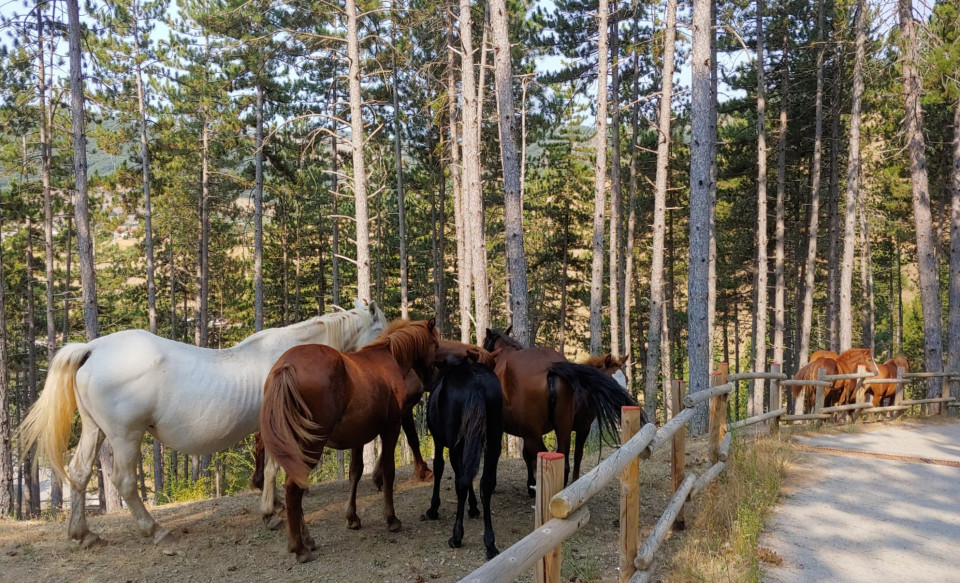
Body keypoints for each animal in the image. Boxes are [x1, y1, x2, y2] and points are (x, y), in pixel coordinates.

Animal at [17, 298, 386, 548]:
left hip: (96, 431)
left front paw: (274, 508)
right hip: (125, 436)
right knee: (124, 482)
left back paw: (82, 534)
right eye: (381, 328)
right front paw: (271, 512)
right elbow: (272, 469)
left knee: (79, 474)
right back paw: (156, 531)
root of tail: (91, 349)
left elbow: (268, 468)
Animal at [258, 318, 438, 564]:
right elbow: (389, 471)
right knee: (293, 489)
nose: (432, 379)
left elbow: (355, 472)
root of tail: (286, 366)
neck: (389, 358)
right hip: (311, 446)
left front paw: (352, 517)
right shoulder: (391, 428)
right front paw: (391, 519)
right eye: (436, 345)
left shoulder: (358, 437)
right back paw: (299, 547)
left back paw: (307, 539)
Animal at [424, 350, 506, 560]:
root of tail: (476, 384)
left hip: (457, 443)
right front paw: (474, 507)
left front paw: (433, 508)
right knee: (486, 483)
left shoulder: (438, 441)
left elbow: (438, 467)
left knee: (461, 482)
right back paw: (490, 543)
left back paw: (457, 536)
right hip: (494, 439)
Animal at [480, 328, 636, 498]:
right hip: (560, 429)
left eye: (626, 379)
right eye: (612, 380)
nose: (622, 402)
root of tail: (550, 368)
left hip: (534, 433)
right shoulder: (581, 428)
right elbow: (576, 456)